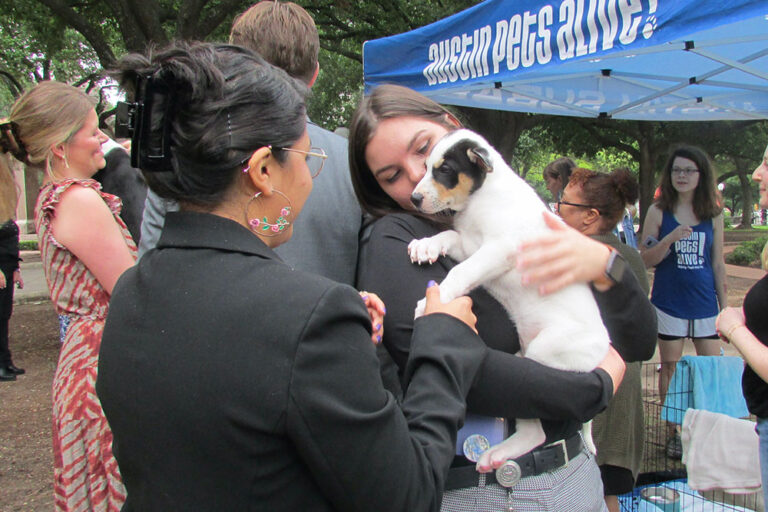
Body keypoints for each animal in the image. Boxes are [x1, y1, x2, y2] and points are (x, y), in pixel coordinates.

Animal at [408, 128, 612, 472]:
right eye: (425, 166)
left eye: (445, 169)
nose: (414, 199)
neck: (483, 196)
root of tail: (602, 350)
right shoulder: (471, 245)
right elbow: (449, 237)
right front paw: (426, 245)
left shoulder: (497, 249)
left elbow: (462, 272)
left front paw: (436, 300)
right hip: (522, 354)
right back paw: (499, 453)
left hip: (548, 353)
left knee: (539, 424)